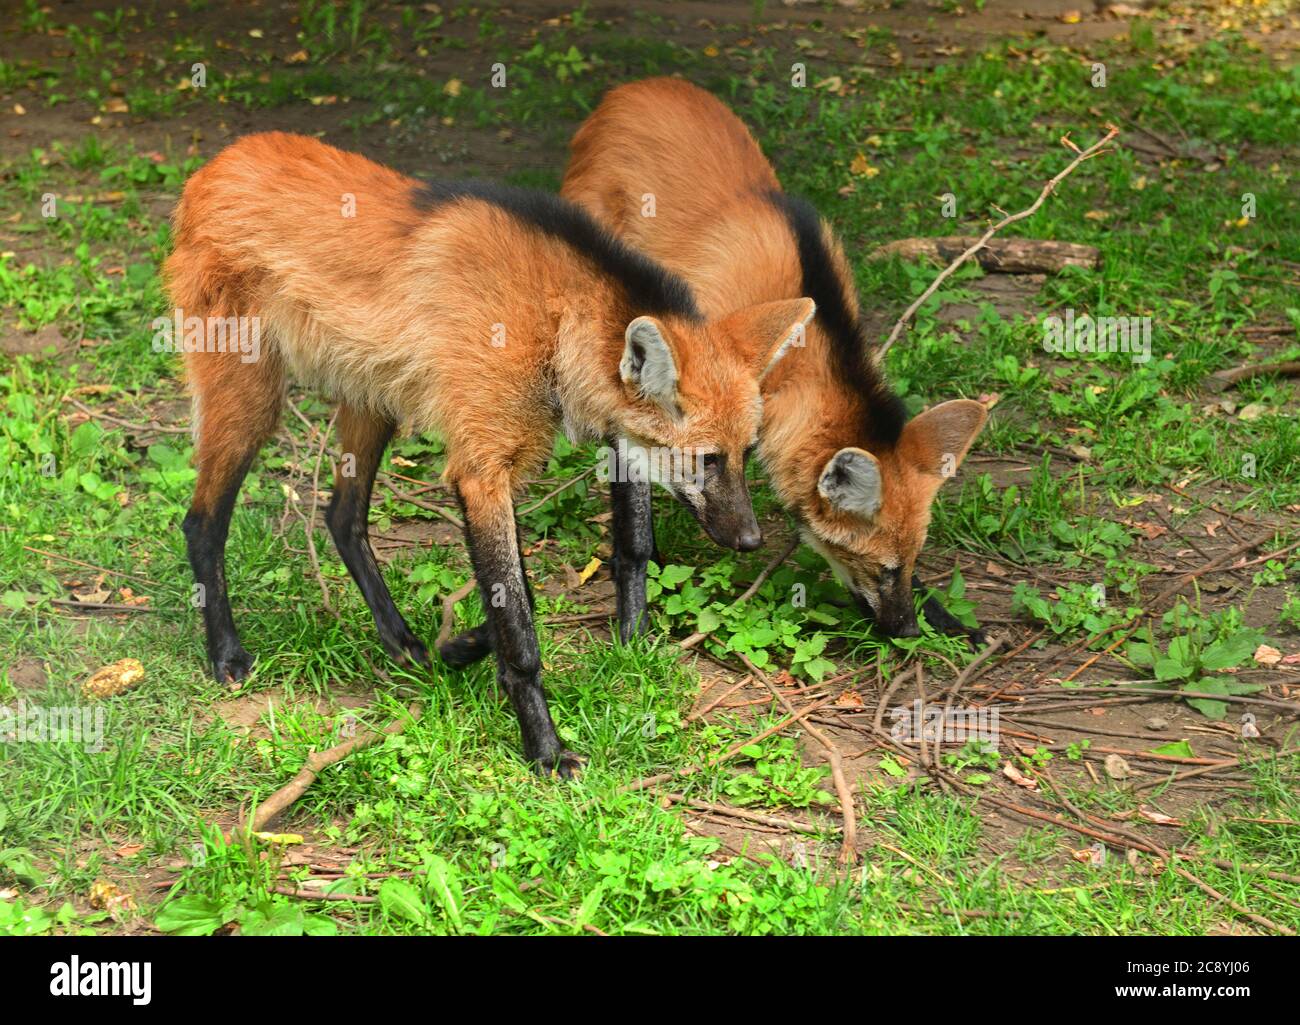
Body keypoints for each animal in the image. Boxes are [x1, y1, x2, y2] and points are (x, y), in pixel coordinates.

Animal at [162, 132, 811, 775]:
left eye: (745, 453)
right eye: (706, 460)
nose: (752, 539)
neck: (553, 319)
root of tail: (216, 164)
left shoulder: (606, 428)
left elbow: (629, 546)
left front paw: (629, 645)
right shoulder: (483, 470)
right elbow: (521, 623)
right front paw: (544, 747)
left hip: (374, 397)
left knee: (342, 517)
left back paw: (407, 643)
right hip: (251, 399)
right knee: (203, 523)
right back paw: (228, 654)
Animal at [559, 78, 982, 639]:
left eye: (913, 564)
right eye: (881, 568)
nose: (907, 629)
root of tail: (634, 86)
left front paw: (950, 618)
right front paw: (635, 618)